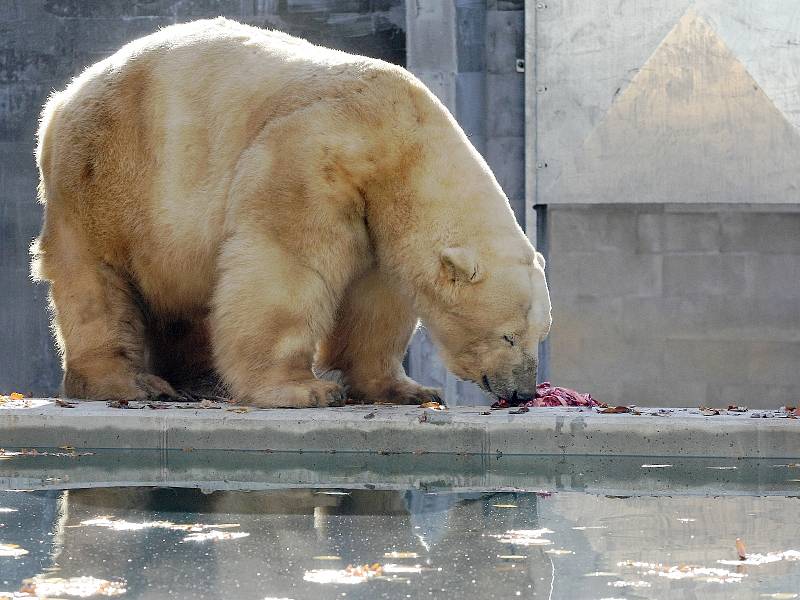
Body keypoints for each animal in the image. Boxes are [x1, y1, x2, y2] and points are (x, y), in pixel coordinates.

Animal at [34, 19, 552, 412]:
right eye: (508, 337)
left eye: (540, 335)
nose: (523, 392)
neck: (401, 140)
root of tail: (62, 99)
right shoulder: (310, 154)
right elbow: (286, 263)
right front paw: (306, 390)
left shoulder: (376, 206)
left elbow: (375, 301)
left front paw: (406, 389)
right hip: (110, 175)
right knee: (96, 278)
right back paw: (130, 382)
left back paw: (199, 380)